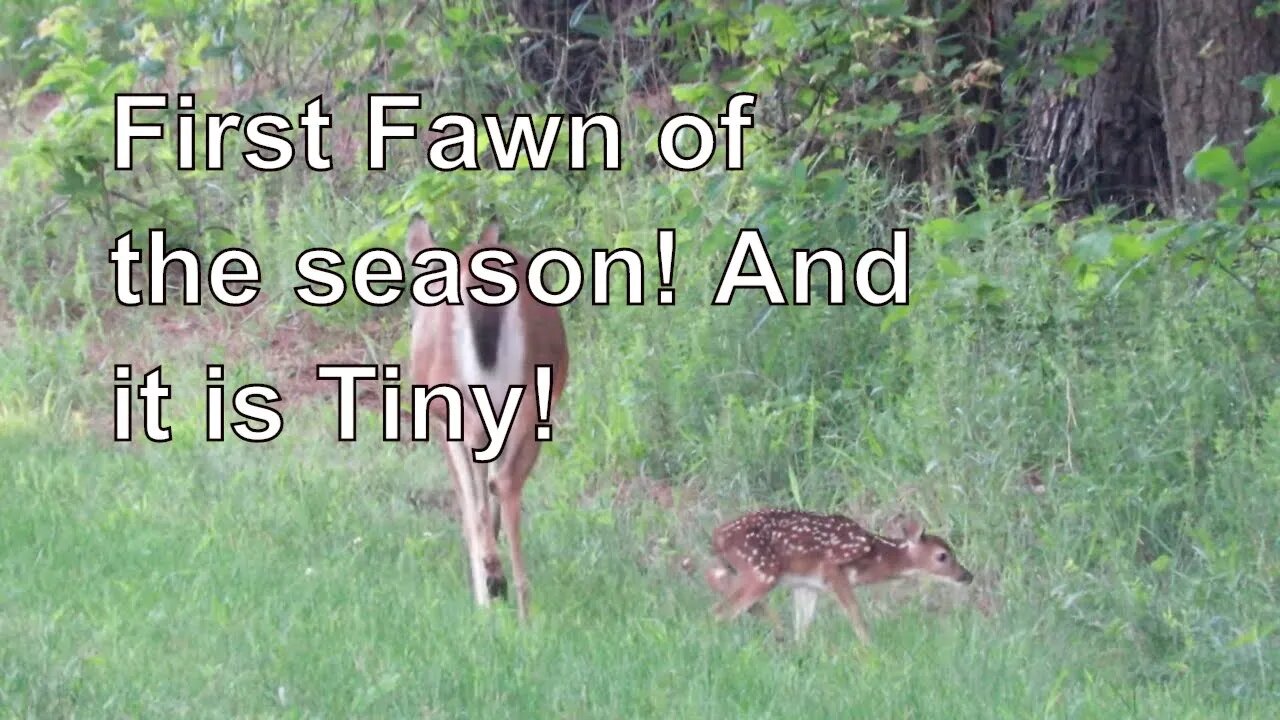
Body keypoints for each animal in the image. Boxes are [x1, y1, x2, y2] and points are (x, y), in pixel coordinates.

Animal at [404, 211, 570, 617]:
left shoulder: (439, 420)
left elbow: (467, 503)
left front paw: (484, 593)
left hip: (453, 394)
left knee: (482, 475)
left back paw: (495, 581)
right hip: (533, 394)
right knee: (504, 480)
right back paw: (521, 602)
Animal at [701, 504, 967, 638]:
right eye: (942, 556)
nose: (967, 575)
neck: (876, 555)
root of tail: (718, 536)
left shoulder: (807, 585)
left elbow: (803, 625)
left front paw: (800, 652)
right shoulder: (833, 569)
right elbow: (855, 614)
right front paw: (870, 648)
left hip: (743, 569)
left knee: (716, 582)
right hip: (762, 570)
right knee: (719, 611)